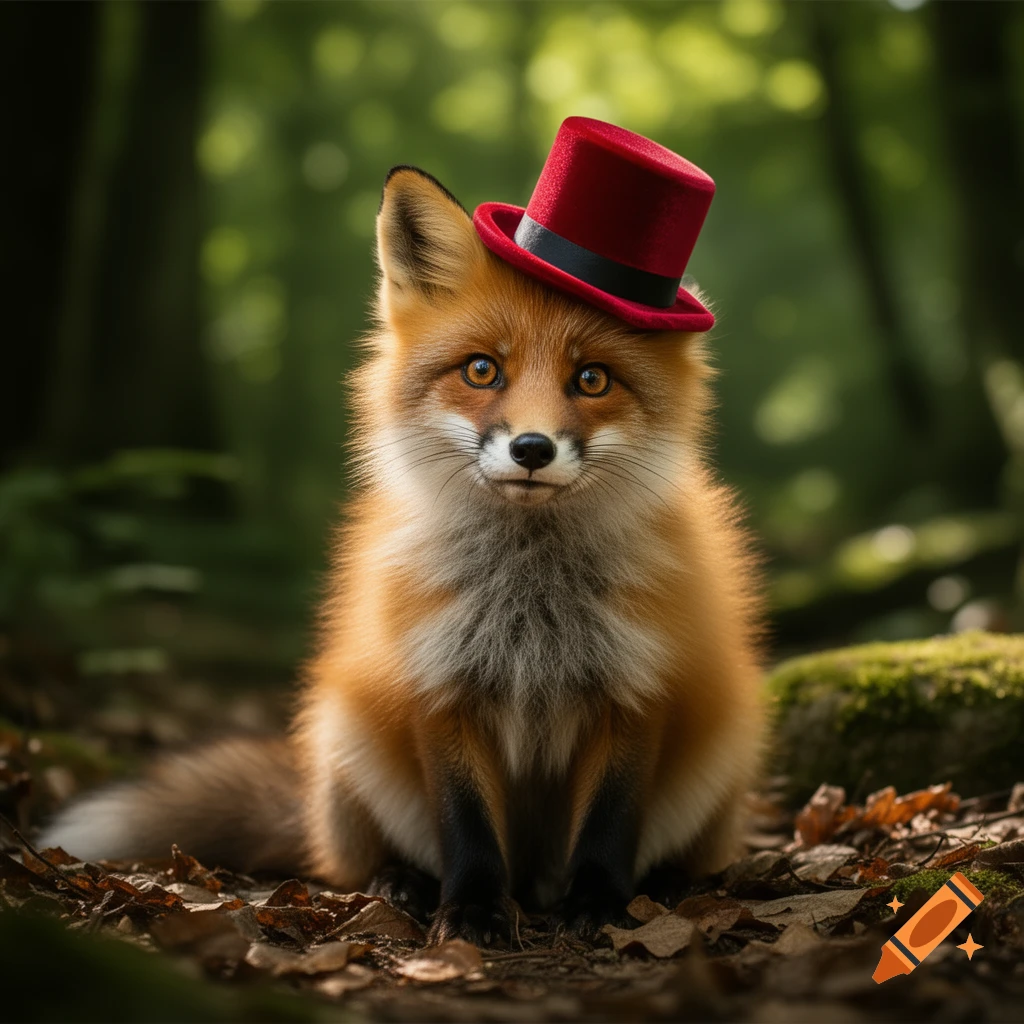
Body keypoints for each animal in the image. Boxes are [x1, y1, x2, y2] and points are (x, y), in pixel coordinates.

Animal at [42, 164, 765, 943]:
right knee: (356, 863)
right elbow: (466, 827)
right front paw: (471, 910)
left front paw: (600, 903)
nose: (532, 449)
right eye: (481, 371)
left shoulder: (636, 691)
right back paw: (401, 885)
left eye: (592, 379)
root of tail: (535, 877)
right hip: (347, 737)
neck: (531, 605)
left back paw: (659, 887)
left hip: (724, 748)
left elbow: (610, 825)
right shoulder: (438, 687)